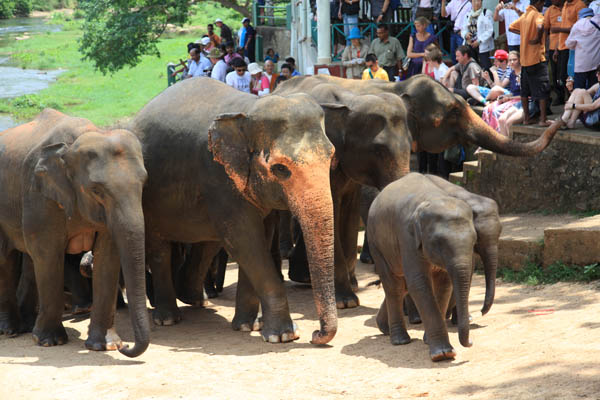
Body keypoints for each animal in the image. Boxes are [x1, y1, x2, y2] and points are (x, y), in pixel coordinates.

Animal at [0, 108, 149, 356]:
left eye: (143, 183)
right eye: (96, 190)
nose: (127, 346)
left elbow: (107, 257)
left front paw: (105, 345)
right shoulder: (39, 193)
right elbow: (49, 254)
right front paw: (49, 341)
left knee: (30, 261)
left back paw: (27, 326)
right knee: (7, 258)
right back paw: (10, 331)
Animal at [128, 77, 338, 344]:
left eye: (331, 157)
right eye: (280, 169)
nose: (315, 335)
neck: (248, 110)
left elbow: (259, 237)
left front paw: (249, 326)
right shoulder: (218, 177)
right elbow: (245, 240)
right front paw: (283, 335)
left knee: (207, 242)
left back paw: (194, 299)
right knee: (160, 248)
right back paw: (167, 318)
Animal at [274, 74, 564, 306]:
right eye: (453, 112)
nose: (558, 119)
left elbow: (347, 209)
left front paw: (350, 294)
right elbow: (335, 210)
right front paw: (347, 301)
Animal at [368, 173, 500, 360]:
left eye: (474, 239)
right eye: (438, 243)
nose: (471, 342)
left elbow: (444, 285)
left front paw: (428, 341)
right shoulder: (407, 237)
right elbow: (419, 284)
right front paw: (442, 354)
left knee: (402, 285)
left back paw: (384, 328)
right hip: (375, 243)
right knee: (394, 286)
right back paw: (400, 340)